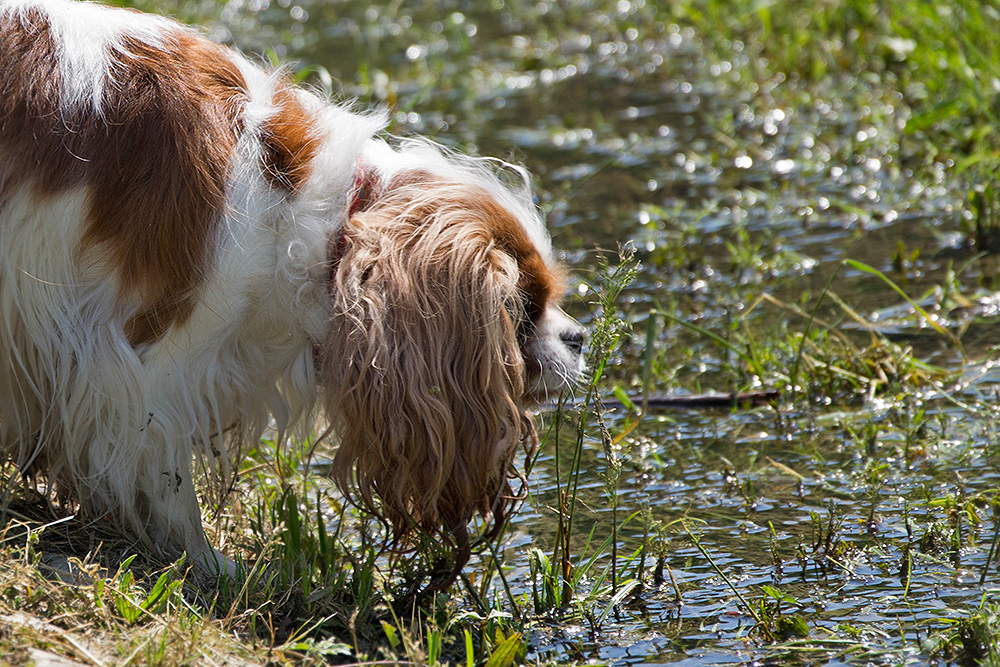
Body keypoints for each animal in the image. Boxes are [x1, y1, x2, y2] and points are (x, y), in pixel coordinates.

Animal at [0, 0, 584, 576]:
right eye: (522, 307)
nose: (579, 338)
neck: (310, 212)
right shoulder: (148, 359)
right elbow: (157, 465)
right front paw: (207, 561)